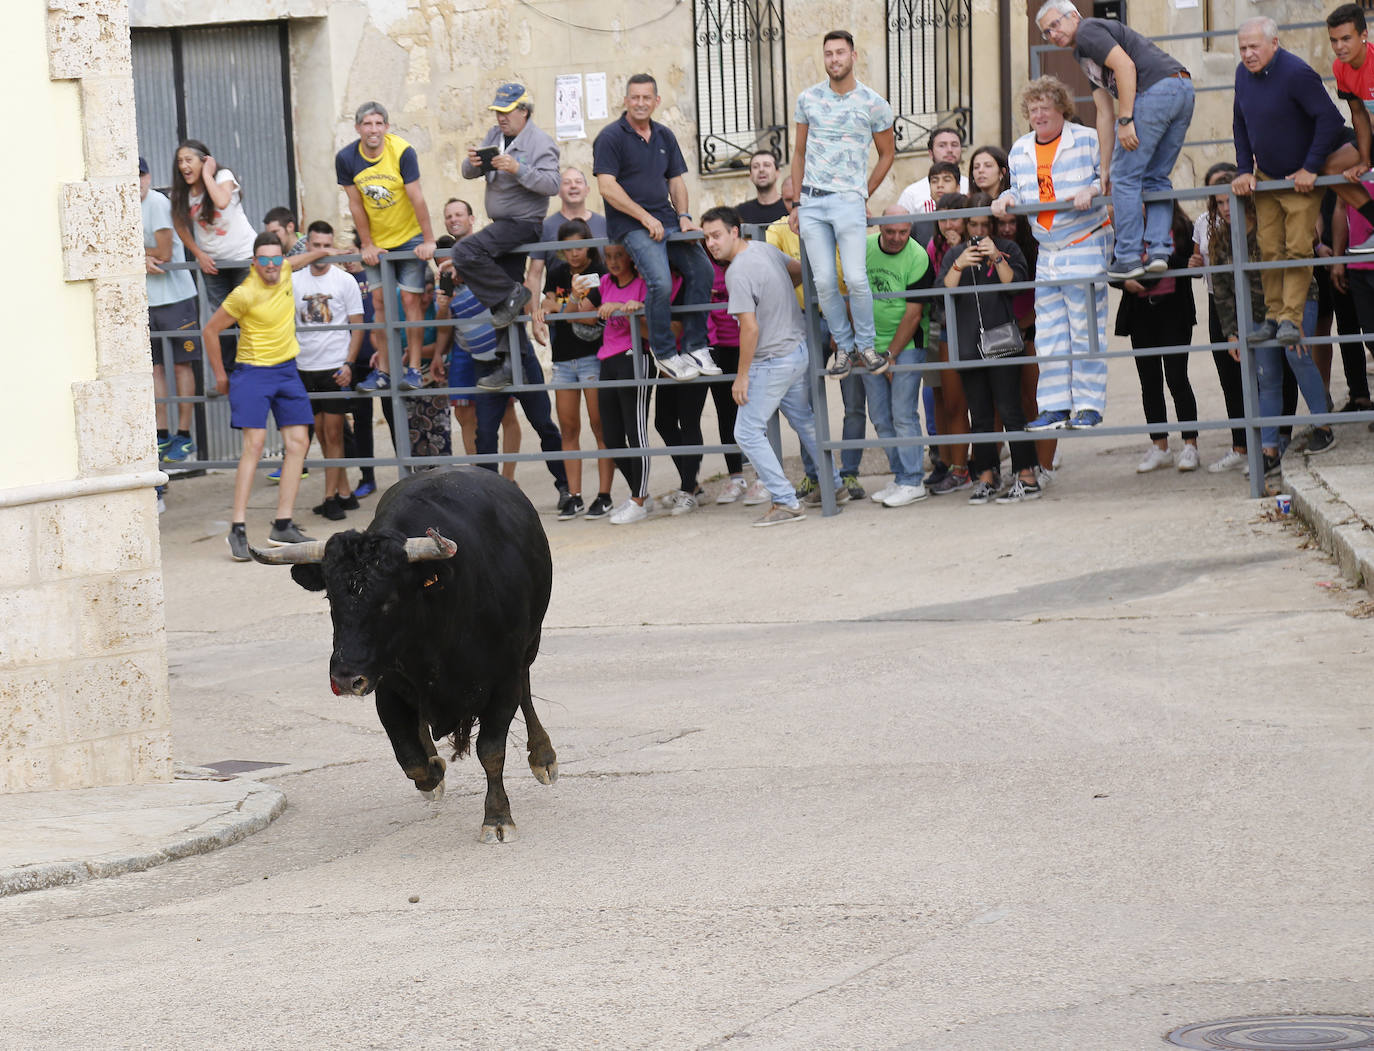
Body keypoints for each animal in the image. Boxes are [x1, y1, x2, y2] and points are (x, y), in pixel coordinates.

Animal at [252, 467, 557, 846]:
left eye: (390, 600)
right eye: (330, 599)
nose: (345, 678)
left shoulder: (503, 681)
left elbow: (491, 750)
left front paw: (498, 818)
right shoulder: (387, 688)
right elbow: (410, 757)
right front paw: (434, 771)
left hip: (529, 644)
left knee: (526, 690)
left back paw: (543, 756)